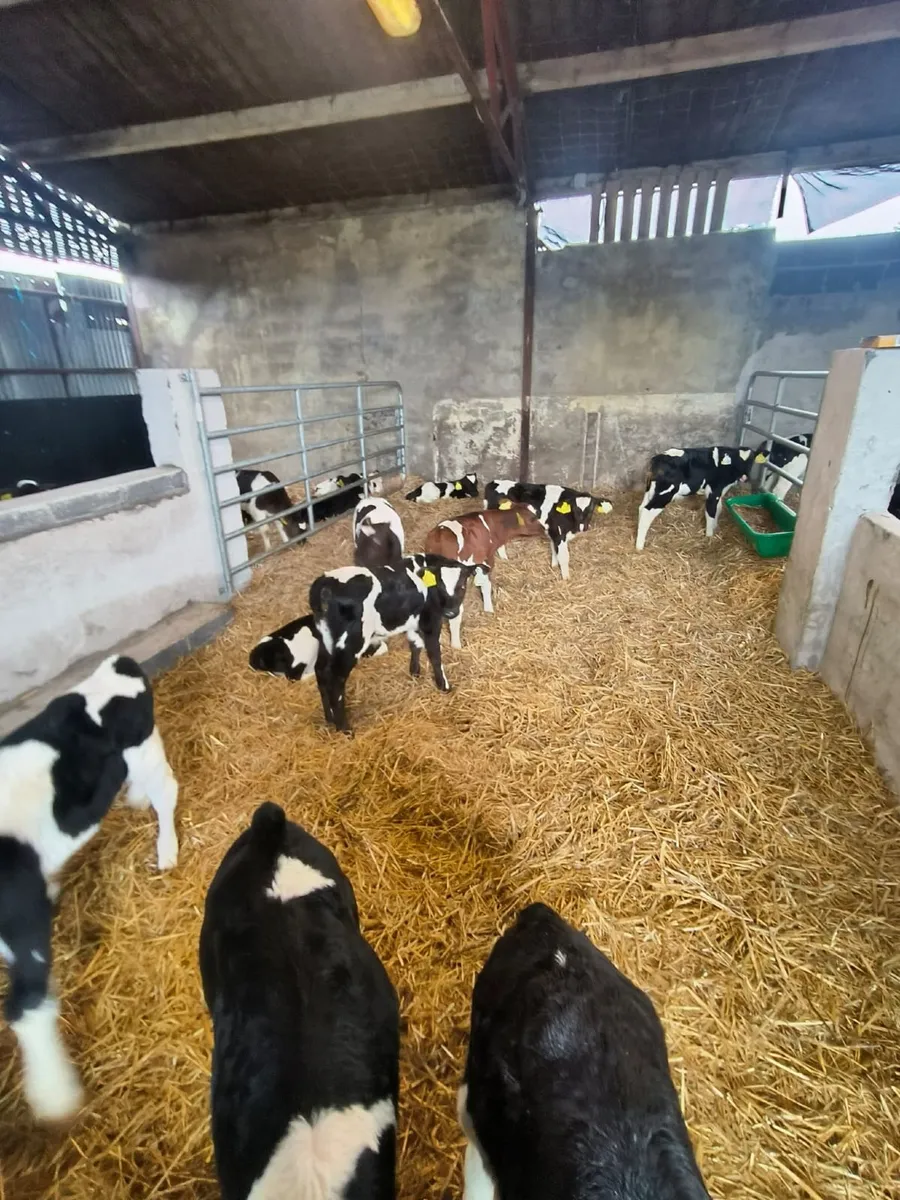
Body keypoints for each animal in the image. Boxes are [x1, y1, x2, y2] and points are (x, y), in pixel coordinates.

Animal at [0, 655, 178, 1123]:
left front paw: (53, 1096)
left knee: (166, 791)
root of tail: (118, 665)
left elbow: (27, 1006)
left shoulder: (22, 923)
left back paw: (167, 848)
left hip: (145, 751)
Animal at [309, 555, 487, 733]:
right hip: (350, 642)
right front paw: (444, 686)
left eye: (462, 586)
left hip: (326, 640)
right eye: (441, 586)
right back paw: (344, 728)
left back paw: (329, 718)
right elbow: (435, 655)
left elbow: (415, 645)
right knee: (336, 680)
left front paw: (415, 672)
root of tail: (325, 581)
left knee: (321, 672)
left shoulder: (413, 621)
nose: (450, 613)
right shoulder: (431, 621)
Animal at [423, 505, 543, 637]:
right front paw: (489, 609)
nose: (544, 529)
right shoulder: (486, 559)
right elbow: (485, 584)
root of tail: (438, 537)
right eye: (532, 518)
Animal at [484, 481, 613, 580]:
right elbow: (564, 557)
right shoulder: (559, 534)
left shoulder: (553, 533)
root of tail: (493, 482)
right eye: (575, 509)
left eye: (591, 509)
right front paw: (566, 578)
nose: (583, 527)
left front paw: (554, 566)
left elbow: (554, 550)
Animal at [635, 444, 768, 550]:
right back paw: (639, 546)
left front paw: (715, 527)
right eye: (736, 460)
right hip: (665, 493)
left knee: (641, 508)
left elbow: (718, 509)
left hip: (651, 490)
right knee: (647, 511)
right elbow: (710, 512)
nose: (744, 477)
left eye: (751, 461)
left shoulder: (720, 492)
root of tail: (657, 458)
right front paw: (709, 536)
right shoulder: (713, 491)